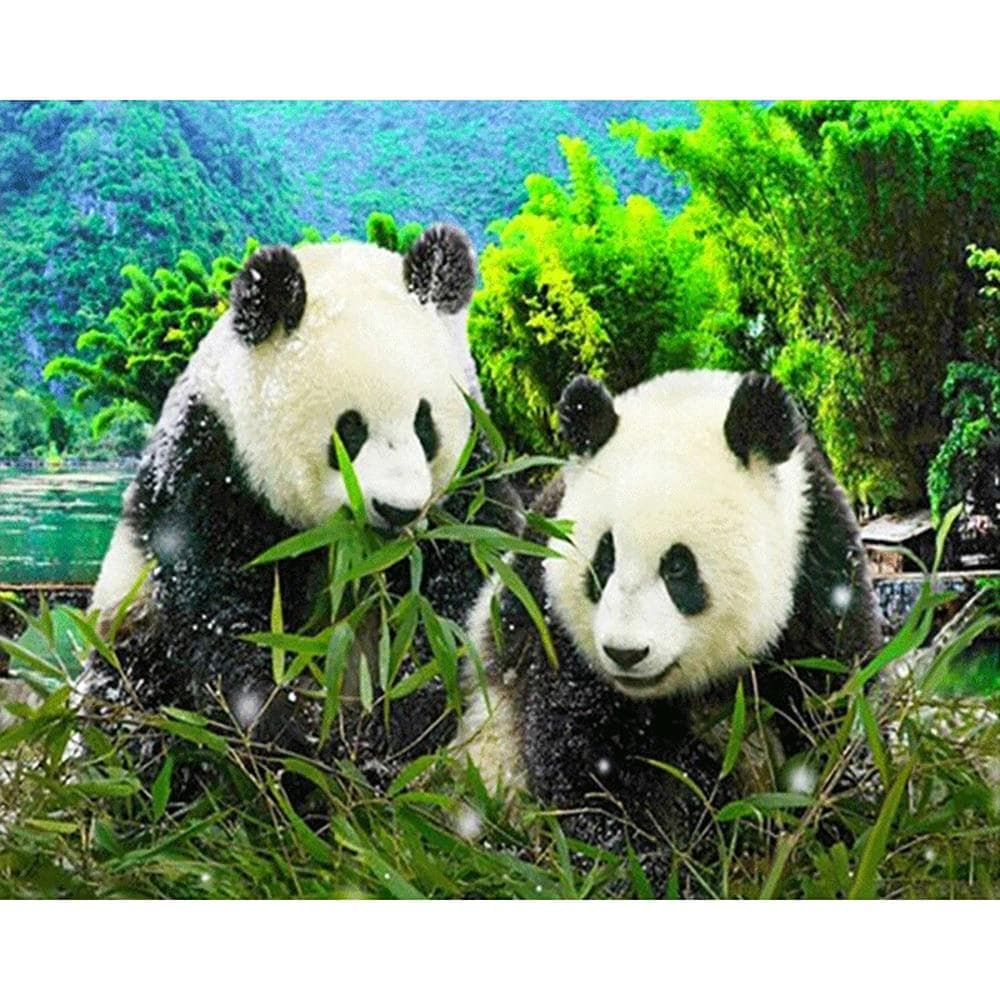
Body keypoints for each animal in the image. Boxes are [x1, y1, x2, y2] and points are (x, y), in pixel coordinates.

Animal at [84, 225, 519, 780]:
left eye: (425, 426)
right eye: (349, 431)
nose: (397, 510)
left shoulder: (468, 487)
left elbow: (457, 602)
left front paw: (387, 731)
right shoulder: (211, 469)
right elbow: (225, 617)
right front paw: (300, 732)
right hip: (129, 627)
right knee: (130, 707)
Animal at [455, 369, 883, 884]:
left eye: (678, 567)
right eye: (604, 560)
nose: (625, 653)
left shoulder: (817, 570)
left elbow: (830, 707)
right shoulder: (552, 626)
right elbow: (594, 763)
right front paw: (652, 870)